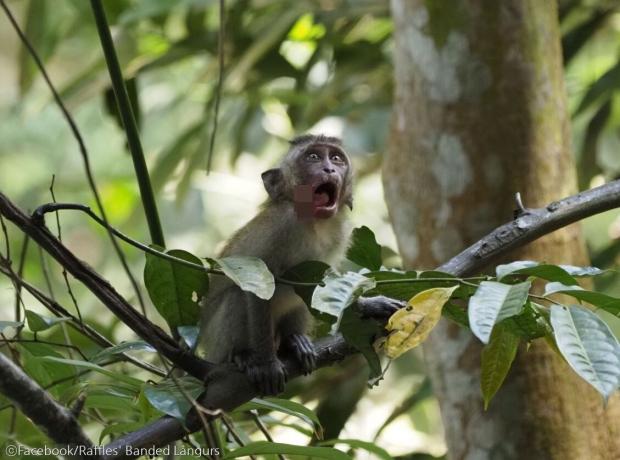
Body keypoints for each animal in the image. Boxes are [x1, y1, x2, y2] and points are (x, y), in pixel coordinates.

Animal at [199, 133, 402, 396]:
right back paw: (242, 356)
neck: (313, 222)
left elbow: (324, 287)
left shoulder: (340, 233)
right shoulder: (280, 227)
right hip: (218, 345)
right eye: (313, 157)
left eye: (336, 158)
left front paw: (371, 305)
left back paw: (293, 341)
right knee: (237, 295)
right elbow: (257, 289)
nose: (329, 169)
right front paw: (266, 364)